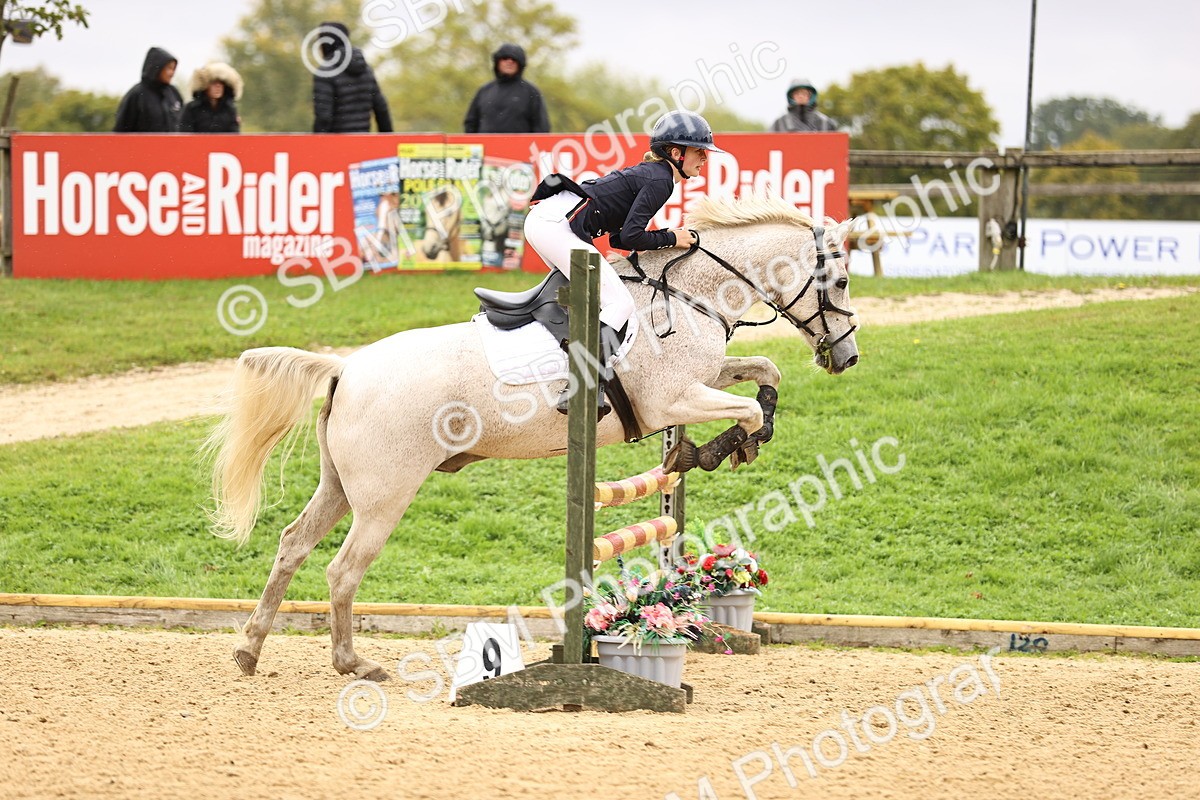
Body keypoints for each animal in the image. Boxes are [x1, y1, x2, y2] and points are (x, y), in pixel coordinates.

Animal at [206, 194, 859, 681]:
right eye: (842, 281)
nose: (847, 358)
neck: (689, 292)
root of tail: (345, 368)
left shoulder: (700, 382)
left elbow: (764, 375)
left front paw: (736, 438)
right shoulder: (671, 400)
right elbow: (743, 409)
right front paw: (712, 449)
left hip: (341, 485)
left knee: (293, 544)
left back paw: (248, 650)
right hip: (384, 495)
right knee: (343, 569)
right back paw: (352, 663)